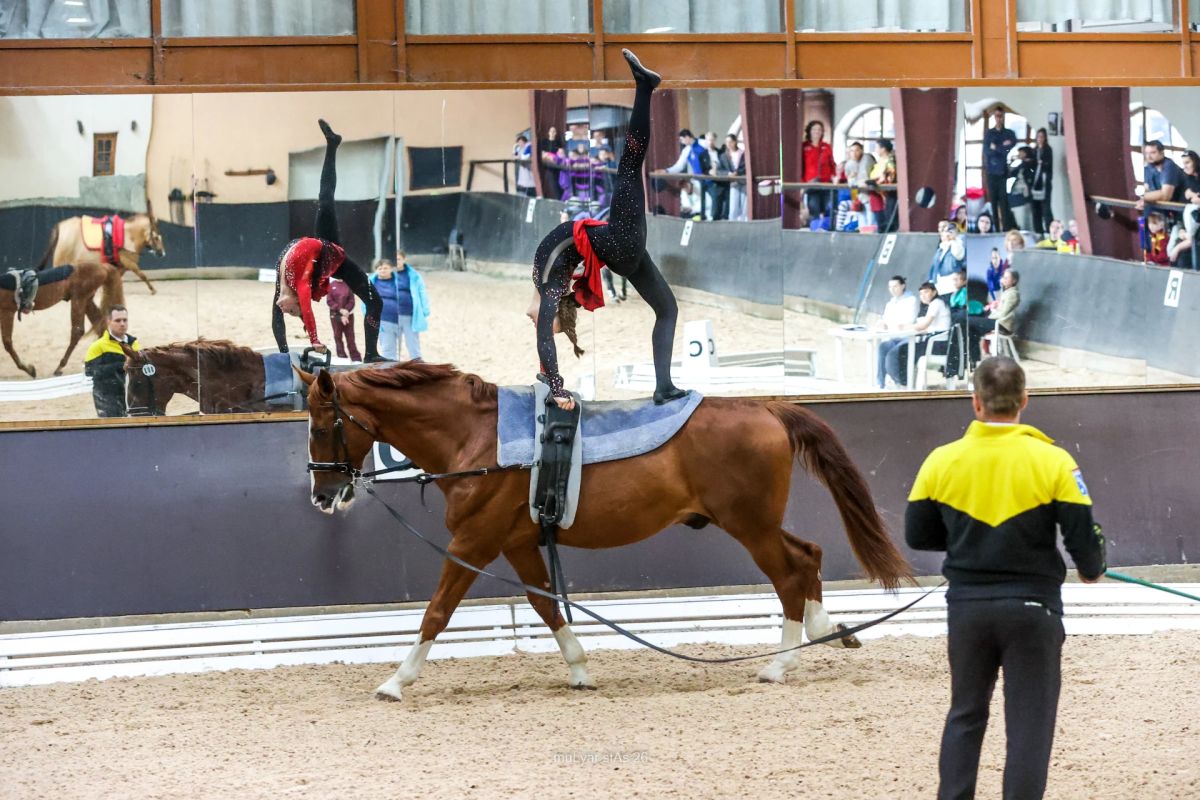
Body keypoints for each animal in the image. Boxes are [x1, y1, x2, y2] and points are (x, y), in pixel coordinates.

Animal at [298, 362, 913, 700]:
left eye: (324, 425)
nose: (322, 496)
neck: (476, 440)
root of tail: (766, 407)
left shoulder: (473, 542)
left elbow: (437, 610)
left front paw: (396, 681)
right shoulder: (516, 543)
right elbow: (544, 604)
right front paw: (580, 670)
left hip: (749, 524)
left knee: (789, 574)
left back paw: (779, 665)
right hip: (750, 521)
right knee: (807, 555)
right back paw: (827, 630)